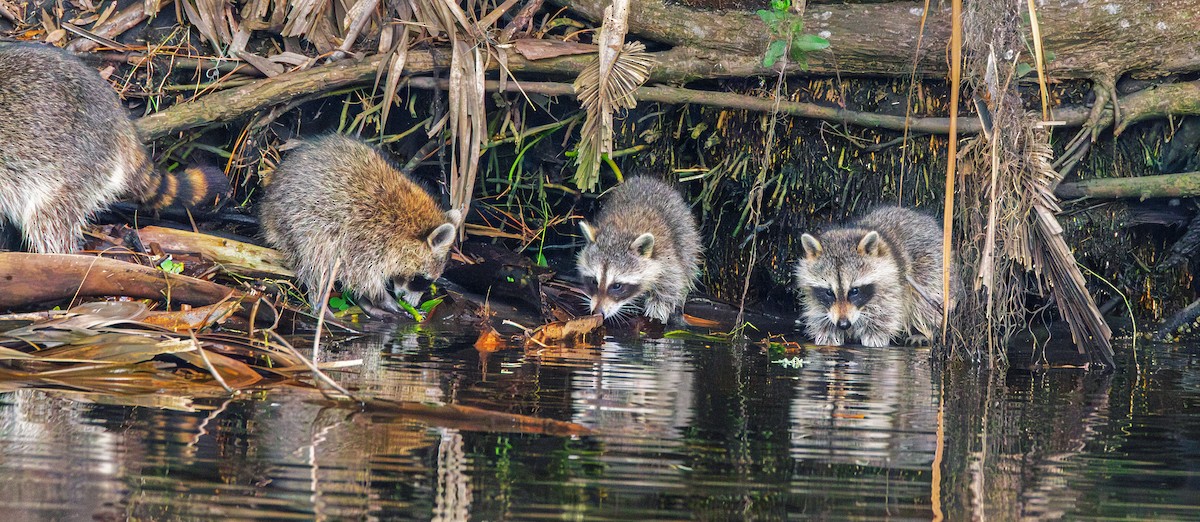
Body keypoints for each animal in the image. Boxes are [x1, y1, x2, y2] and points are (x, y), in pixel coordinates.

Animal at [259, 135, 458, 317]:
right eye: (420, 280)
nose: (412, 303)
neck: (409, 225)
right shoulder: (366, 237)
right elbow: (360, 274)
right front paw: (382, 298)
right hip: (302, 222)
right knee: (317, 260)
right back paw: (320, 302)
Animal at [576, 177, 701, 323]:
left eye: (617, 285)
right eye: (594, 281)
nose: (597, 312)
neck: (620, 231)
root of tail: (648, 179)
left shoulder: (666, 256)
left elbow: (671, 282)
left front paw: (658, 309)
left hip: (686, 234)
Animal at [794, 206, 956, 347]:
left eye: (854, 291)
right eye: (829, 292)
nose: (843, 324)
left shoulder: (891, 285)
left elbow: (885, 315)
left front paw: (875, 337)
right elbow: (820, 313)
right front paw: (828, 333)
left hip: (932, 267)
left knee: (926, 302)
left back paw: (924, 331)